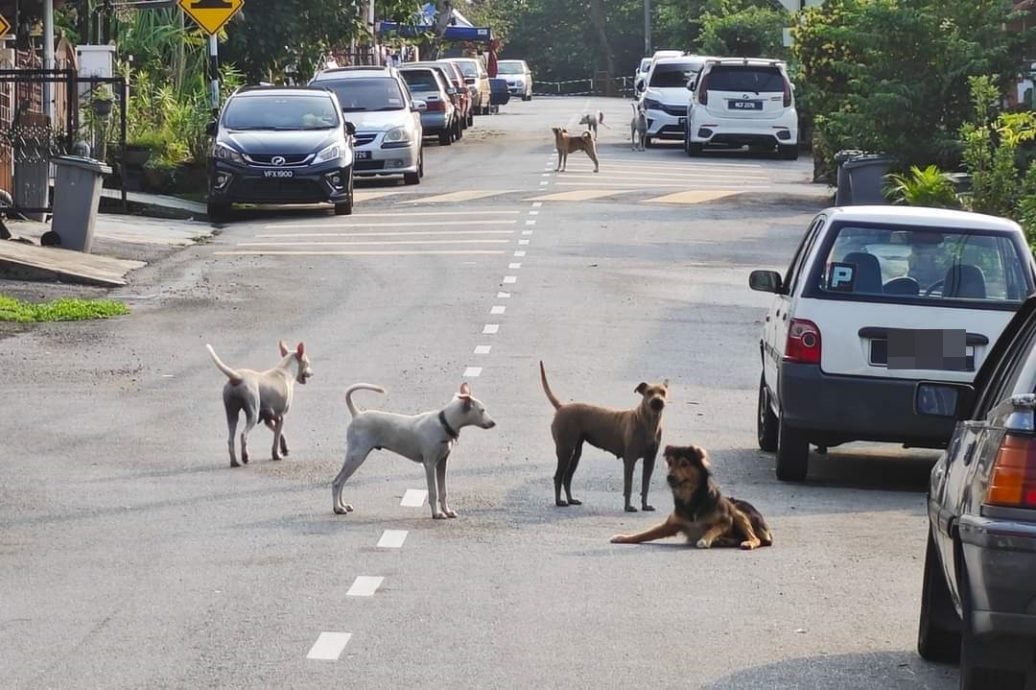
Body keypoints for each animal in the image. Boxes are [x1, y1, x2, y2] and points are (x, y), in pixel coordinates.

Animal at [329, 381, 495, 515]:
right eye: (482, 410)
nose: (493, 423)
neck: (443, 423)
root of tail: (357, 414)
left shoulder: (442, 463)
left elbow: (443, 491)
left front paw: (447, 512)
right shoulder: (429, 464)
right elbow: (433, 492)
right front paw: (437, 514)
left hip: (355, 457)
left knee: (342, 482)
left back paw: (343, 505)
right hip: (356, 456)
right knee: (337, 482)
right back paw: (338, 508)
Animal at [538, 360, 667, 509]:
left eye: (663, 392)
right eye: (649, 392)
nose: (658, 401)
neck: (648, 422)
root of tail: (561, 407)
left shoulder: (650, 460)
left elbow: (645, 486)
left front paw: (645, 506)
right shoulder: (629, 460)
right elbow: (628, 486)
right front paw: (628, 507)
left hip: (576, 453)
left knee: (567, 478)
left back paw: (571, 500)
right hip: (565, 450)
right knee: (558, 477)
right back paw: (559, 501)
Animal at [609, 443, 774, 551]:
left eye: (684, 464)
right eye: (670, 463)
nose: (669, 477)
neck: (691, 499)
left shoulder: (727, 520)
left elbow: (712, 529)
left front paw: (705, 540)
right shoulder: (670, 525)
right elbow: (643, 534)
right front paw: (623, 537)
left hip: (737, 510)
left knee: (756, 538)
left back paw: (745, 543)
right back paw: (725, 541)